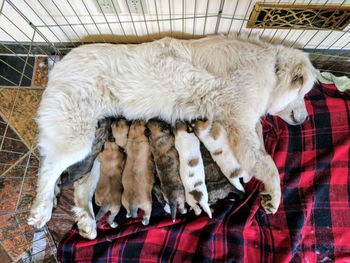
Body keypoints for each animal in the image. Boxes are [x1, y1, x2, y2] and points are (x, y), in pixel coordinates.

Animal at [28, 35, 316, 229]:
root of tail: (59, 64)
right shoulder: (240, 125)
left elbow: (262, 146)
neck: (271, 67)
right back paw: (41, 210)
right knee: (48, 170)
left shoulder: (247, 124)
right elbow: (267, 164)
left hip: (94, 148)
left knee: (79, 185)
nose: (304, 120)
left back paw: (86, 222)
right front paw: (274, 196)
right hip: (76, 138)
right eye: (304, 93)